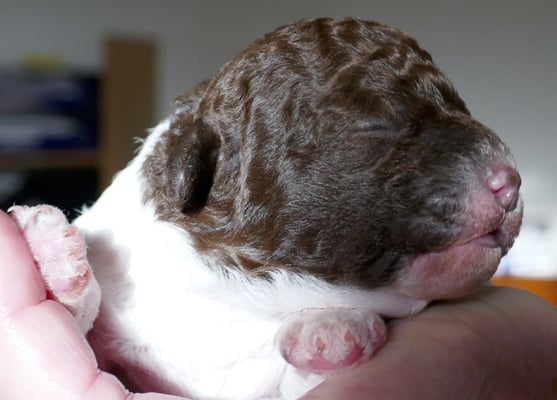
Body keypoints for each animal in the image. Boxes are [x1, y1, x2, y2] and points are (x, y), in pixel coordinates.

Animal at [10, 17, 523, 399]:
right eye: (377, 122)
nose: (511, 183)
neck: (235, 303)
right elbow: (86, 322)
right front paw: (51, 257)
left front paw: (331, 329)